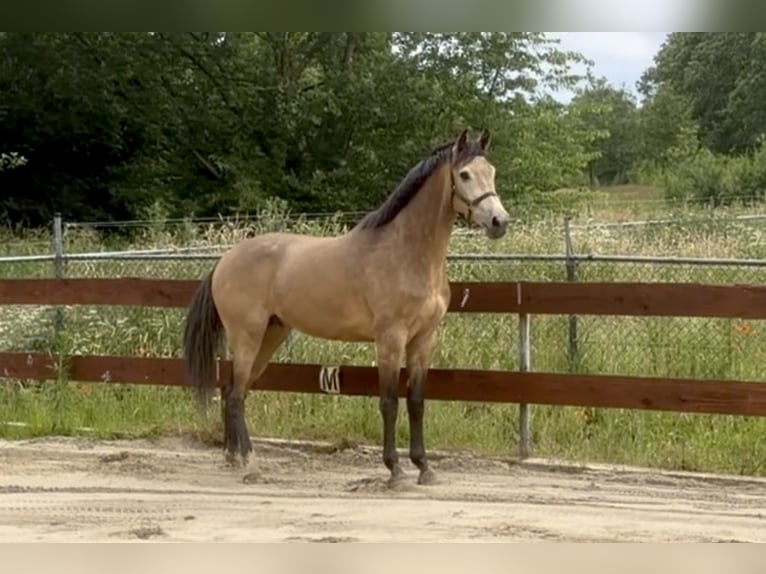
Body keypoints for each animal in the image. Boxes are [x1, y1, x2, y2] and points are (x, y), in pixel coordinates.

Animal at [182, 128, 510, 487]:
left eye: (491, 171)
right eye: (464, 174)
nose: (499, 221)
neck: (407, 254)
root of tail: (225, 260)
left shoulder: (424, 340)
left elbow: (416, 402)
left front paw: (425, 468)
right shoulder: (390, 339)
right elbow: (389, 402)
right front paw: (395, 470)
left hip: (271, 336)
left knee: (232, 391)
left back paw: (234, 458)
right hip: (247, 337)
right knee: (236, 396)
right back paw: (252, 466)